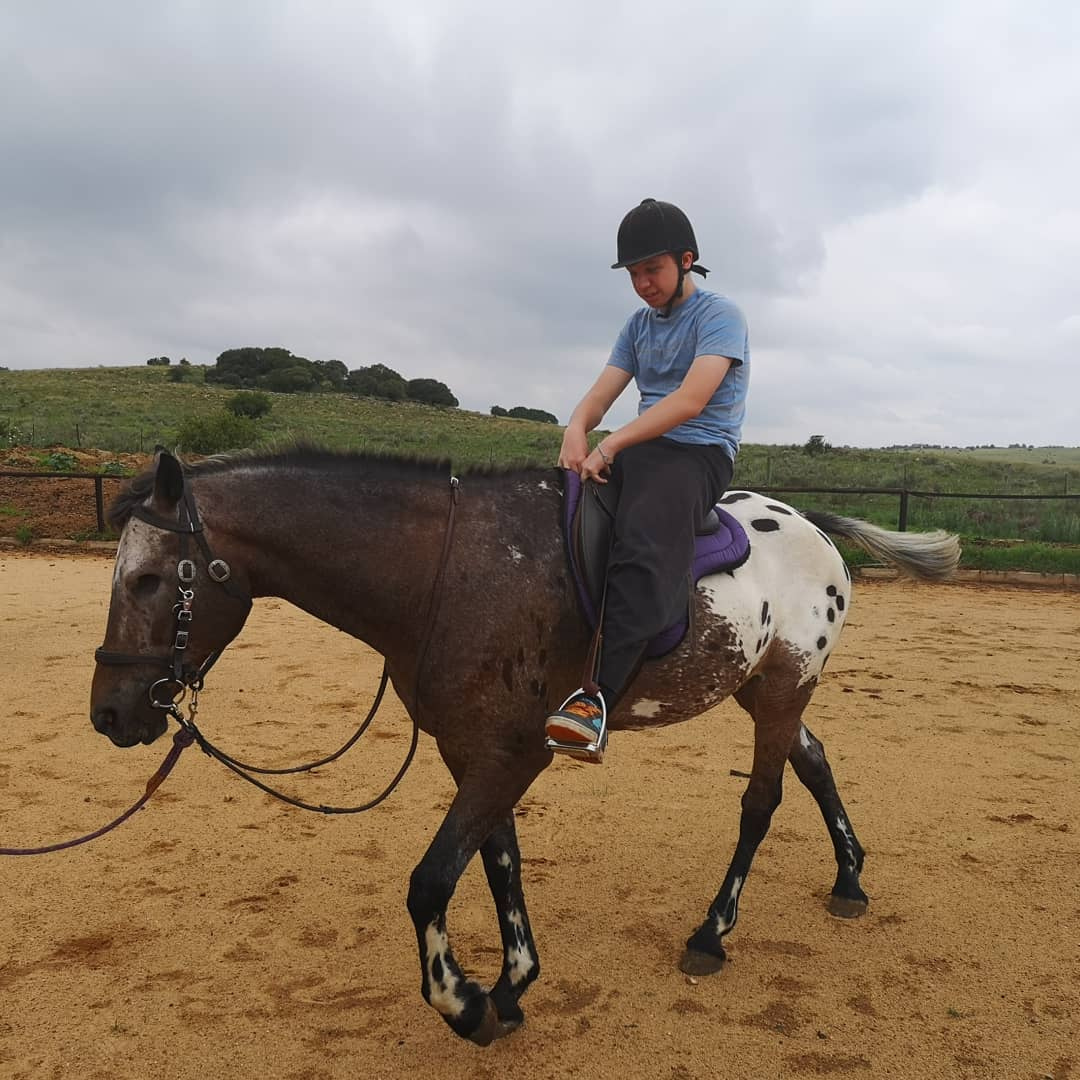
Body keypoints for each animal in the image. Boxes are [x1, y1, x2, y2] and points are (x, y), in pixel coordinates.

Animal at [90, 446, 960, 1045]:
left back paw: (713, 933)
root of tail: (810, 523)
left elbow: (430, 882)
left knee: (762, 799)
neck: (442, 572)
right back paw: (849, 877)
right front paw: (511, 987)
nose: (108, 713)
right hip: (762, 689)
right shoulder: (476, 752)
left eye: (147, 581)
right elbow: (497, 861)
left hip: (780, 688)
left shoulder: (513, 754)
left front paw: (464, 1003)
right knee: (812, 762)